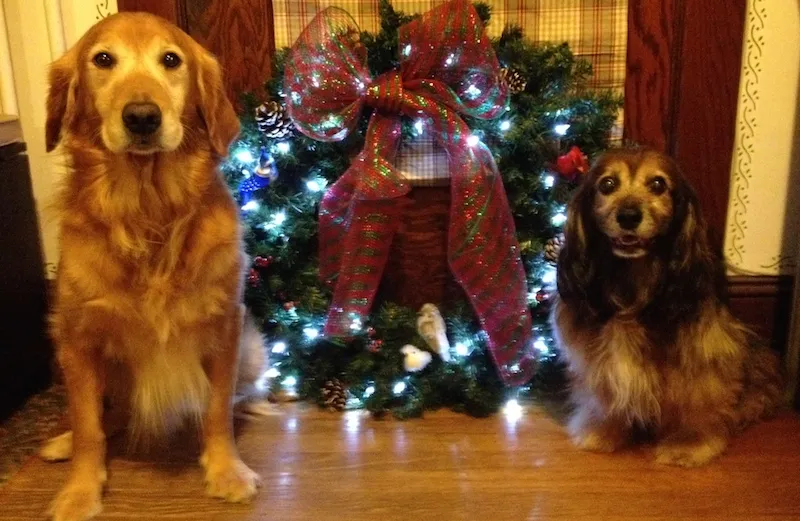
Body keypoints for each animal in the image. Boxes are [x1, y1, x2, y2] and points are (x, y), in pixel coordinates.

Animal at [40, 12, 264, 520]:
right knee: (105, 416)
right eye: (103, 59)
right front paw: (79, 491)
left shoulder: (226, 322)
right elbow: (88, 426)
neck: (148, 209)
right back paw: (62, 442)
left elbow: (217, 409)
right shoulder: (77, 336)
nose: (142, 116)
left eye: (171, 60)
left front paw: (226, 470)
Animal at [552, 146, 780, 468]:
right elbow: (605, 393)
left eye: (658, 184)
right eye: (607, 184)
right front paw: (605, 431)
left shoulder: (703, 351)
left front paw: (689, 444)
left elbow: (697, 399)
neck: (634, 283)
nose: (629, 216)